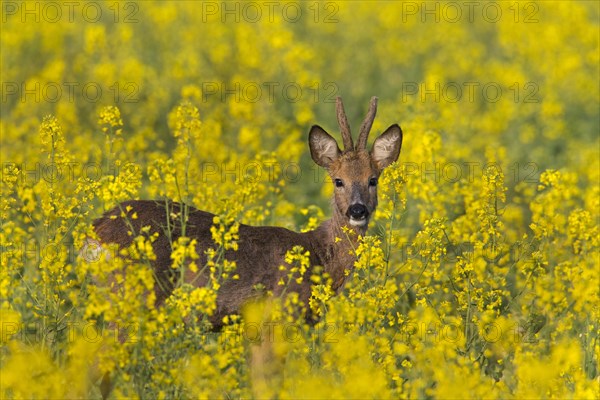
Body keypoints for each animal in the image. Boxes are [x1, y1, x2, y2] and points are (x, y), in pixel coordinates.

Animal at [91, 97, 400, 328]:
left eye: (373, 179)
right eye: (338, 180)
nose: (357, 210)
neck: (319, 254)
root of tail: (95, 230)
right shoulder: (280, 311)